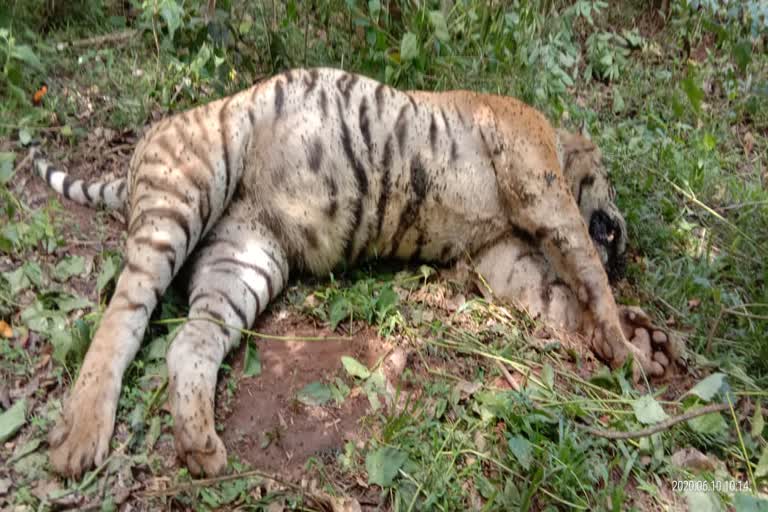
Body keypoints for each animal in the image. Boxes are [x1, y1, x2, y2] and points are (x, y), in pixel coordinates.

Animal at [30, 66, 680, 478]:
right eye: (611, 183)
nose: (628, 243)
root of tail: (140, 150)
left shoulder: (504, 257)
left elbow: (559, 295)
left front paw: (644, 339)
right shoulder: (542, 186)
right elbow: (587, 272)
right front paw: (629, 348)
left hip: (243, 260)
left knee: (189, 343)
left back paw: (199, 448)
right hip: (187, 189)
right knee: (121, 316)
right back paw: (79, 439)